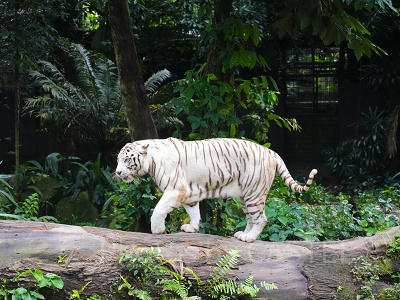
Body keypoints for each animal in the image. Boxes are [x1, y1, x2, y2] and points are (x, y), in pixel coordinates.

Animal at [115, 137, 318, 243]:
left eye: (126, 160)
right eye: (118, 160)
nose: (117, 172)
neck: (151, 161)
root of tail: (271, 152)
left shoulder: (175, 190)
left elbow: (158, 209)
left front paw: (157, 229)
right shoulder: (189, 193)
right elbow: (194, 212)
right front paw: (192, 228)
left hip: (254, 192)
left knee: (261, 219)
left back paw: (249, 238)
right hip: (245, 196)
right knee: (252, 218)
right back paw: (242, 234)